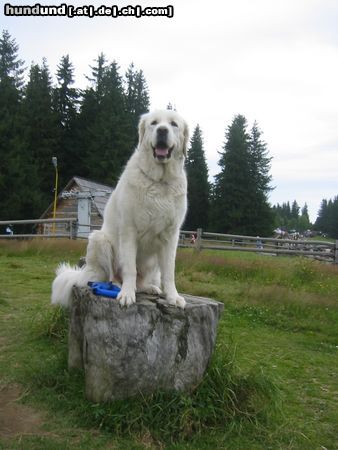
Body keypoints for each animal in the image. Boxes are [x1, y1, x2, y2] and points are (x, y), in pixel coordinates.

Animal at [51, 110, 189, 310]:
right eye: (154, 123)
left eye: (173, 124)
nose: (162, 130)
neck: (159, 180)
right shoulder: (129, 230)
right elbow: (129, 268)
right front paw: (126, 295)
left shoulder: (170, 236)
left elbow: (169, 272)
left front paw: (173, 297)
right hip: (99, 240)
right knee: (105, 278)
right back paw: (115, 286)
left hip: (152, 261)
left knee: (142, 282)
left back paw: (149, 288)